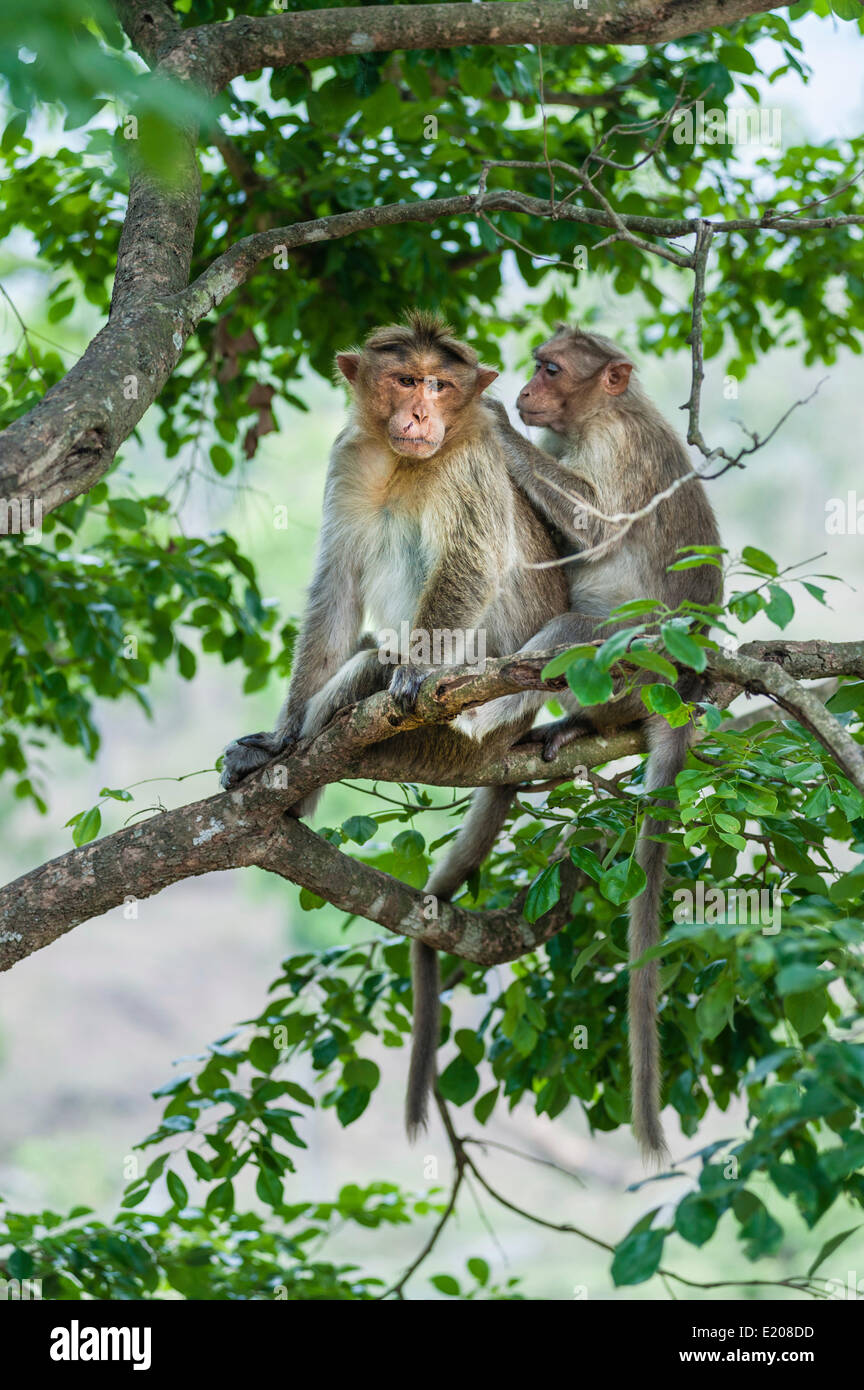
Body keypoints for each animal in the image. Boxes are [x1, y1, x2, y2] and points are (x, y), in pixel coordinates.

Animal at [219, 315, 572, 1139]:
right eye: (404, 380)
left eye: (440, 385)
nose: (419, 414)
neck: (406, 461)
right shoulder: (348, 461)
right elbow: (335, 593)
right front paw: (279, 737)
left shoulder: (473, 459)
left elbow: (468, 560)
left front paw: (407, 673)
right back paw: (284, 763)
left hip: (457, 731)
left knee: (375, 667)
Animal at [433, 319, 722, 1156]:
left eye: (554, 370)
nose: (528, 388)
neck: (593, 418)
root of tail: (680, 691)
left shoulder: (618, 449)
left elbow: (599, 528)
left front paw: (490, 416)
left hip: (631, 664)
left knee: (570, 633)